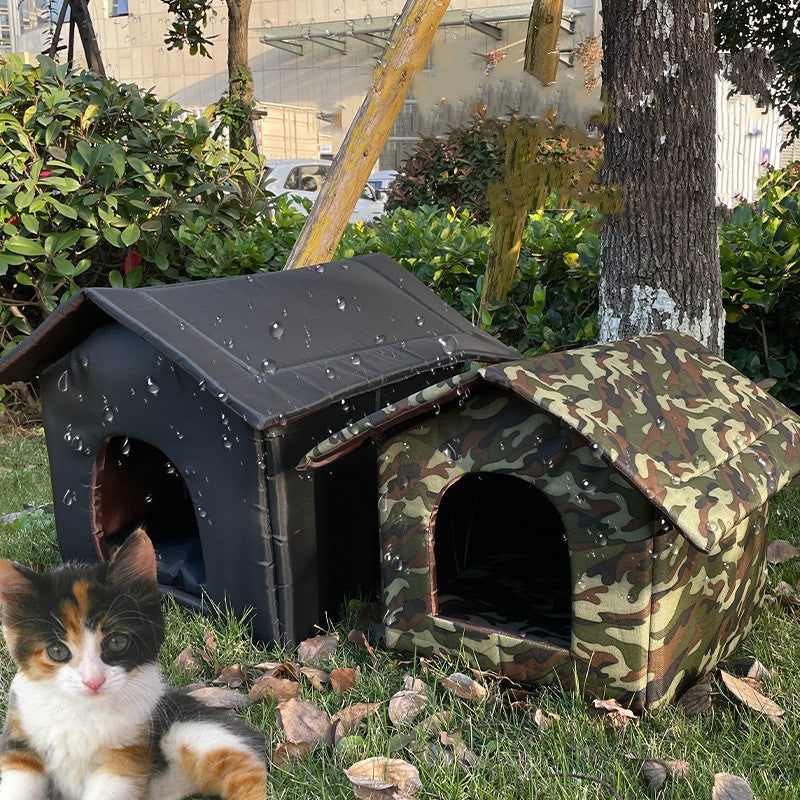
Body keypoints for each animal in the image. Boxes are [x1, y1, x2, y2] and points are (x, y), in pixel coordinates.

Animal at [0, 532, 268, 800]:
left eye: (117, 642)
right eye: (57, 651)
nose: (93, 681)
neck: (84, 709)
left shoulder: (127, 756)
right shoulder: (18, 743)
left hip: (195, 732)